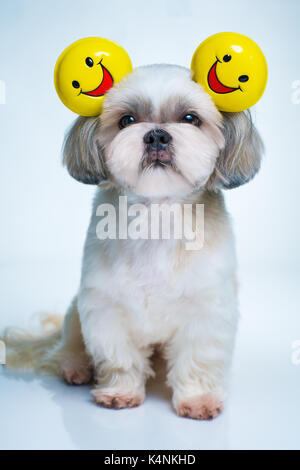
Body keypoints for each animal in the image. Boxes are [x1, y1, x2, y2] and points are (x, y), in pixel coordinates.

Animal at [3, 64, 264, 420]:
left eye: (190, 118)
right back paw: (75, 368)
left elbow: (197, 358)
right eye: (127, 120)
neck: (157, 216)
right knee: (68, 345)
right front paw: (120, 392)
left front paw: (197, 399)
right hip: (74, 313)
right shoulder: (105, 307)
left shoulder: (207, 309)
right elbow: (119, 358)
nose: (156, 135)